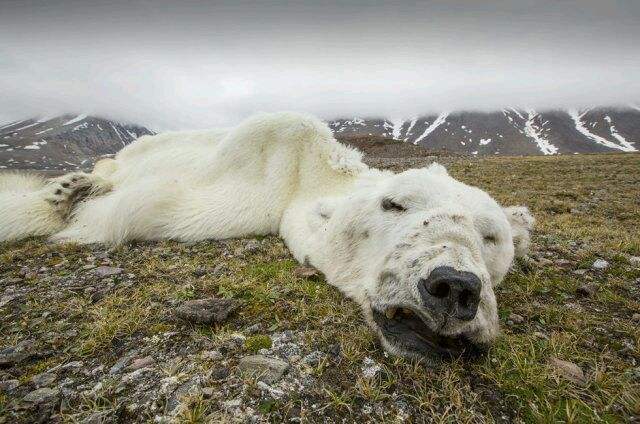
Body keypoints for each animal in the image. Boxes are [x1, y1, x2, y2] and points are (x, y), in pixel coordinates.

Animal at [0, 112, 536, 358]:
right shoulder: (258, 167)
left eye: (491, 237)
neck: (309, 176)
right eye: (395, 203)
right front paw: (62, 201)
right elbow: (142, 206)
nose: (454, 287)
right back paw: (74, 184)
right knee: (113, 165)